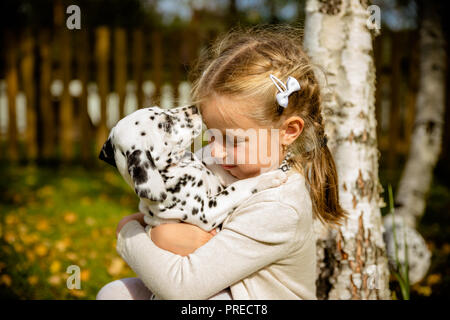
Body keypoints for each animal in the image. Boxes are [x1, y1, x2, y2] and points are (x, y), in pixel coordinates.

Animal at [100, 105, 286, 232]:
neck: (180, 166)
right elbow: (237, 187)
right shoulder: (207, 211)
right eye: (166, 124)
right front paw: (270, 177)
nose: (195, 108)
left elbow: (218, 168)